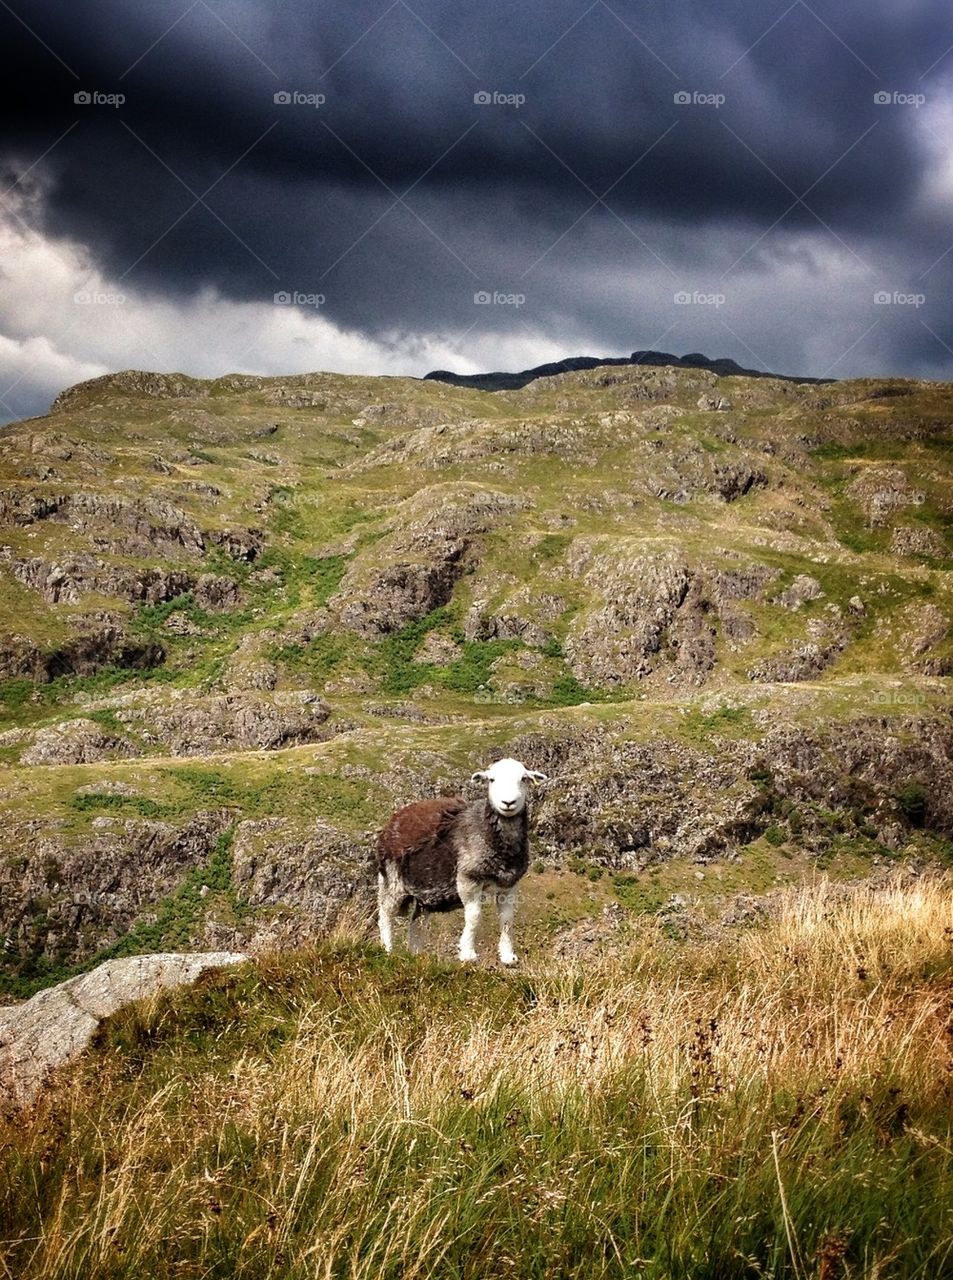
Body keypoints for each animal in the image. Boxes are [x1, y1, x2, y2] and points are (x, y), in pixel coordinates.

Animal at [376, 757, 548, 965]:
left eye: (524, 779)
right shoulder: (468, 878)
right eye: (491, 779)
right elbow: (474, 916)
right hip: (392, 880)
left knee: (416, 923)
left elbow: (507, 919)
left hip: (425, 892)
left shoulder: (509, 883)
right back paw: (387, 950)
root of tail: (391, 823)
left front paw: (508, 956)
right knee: (385, 915)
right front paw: (468, 954)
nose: (508, 803)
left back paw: (416, 955)